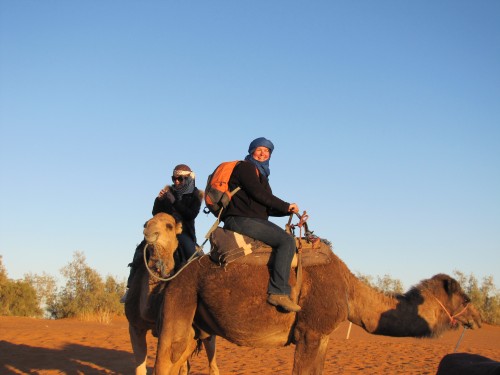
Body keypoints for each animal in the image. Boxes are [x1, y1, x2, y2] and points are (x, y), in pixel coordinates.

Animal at [124, 214, 218, 375]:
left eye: (169, 226)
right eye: (145, 223)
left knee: (212, 364)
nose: (149, 230)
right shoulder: (135, 326)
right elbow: (141, 369)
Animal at [147, 213, 480, 374]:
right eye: (465, 299)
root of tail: (172, 277)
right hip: (180, 305)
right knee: (164, 363)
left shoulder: (323, 337)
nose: (476, 317)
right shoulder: (309, 333)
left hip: (195, 325)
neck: (349, 290)